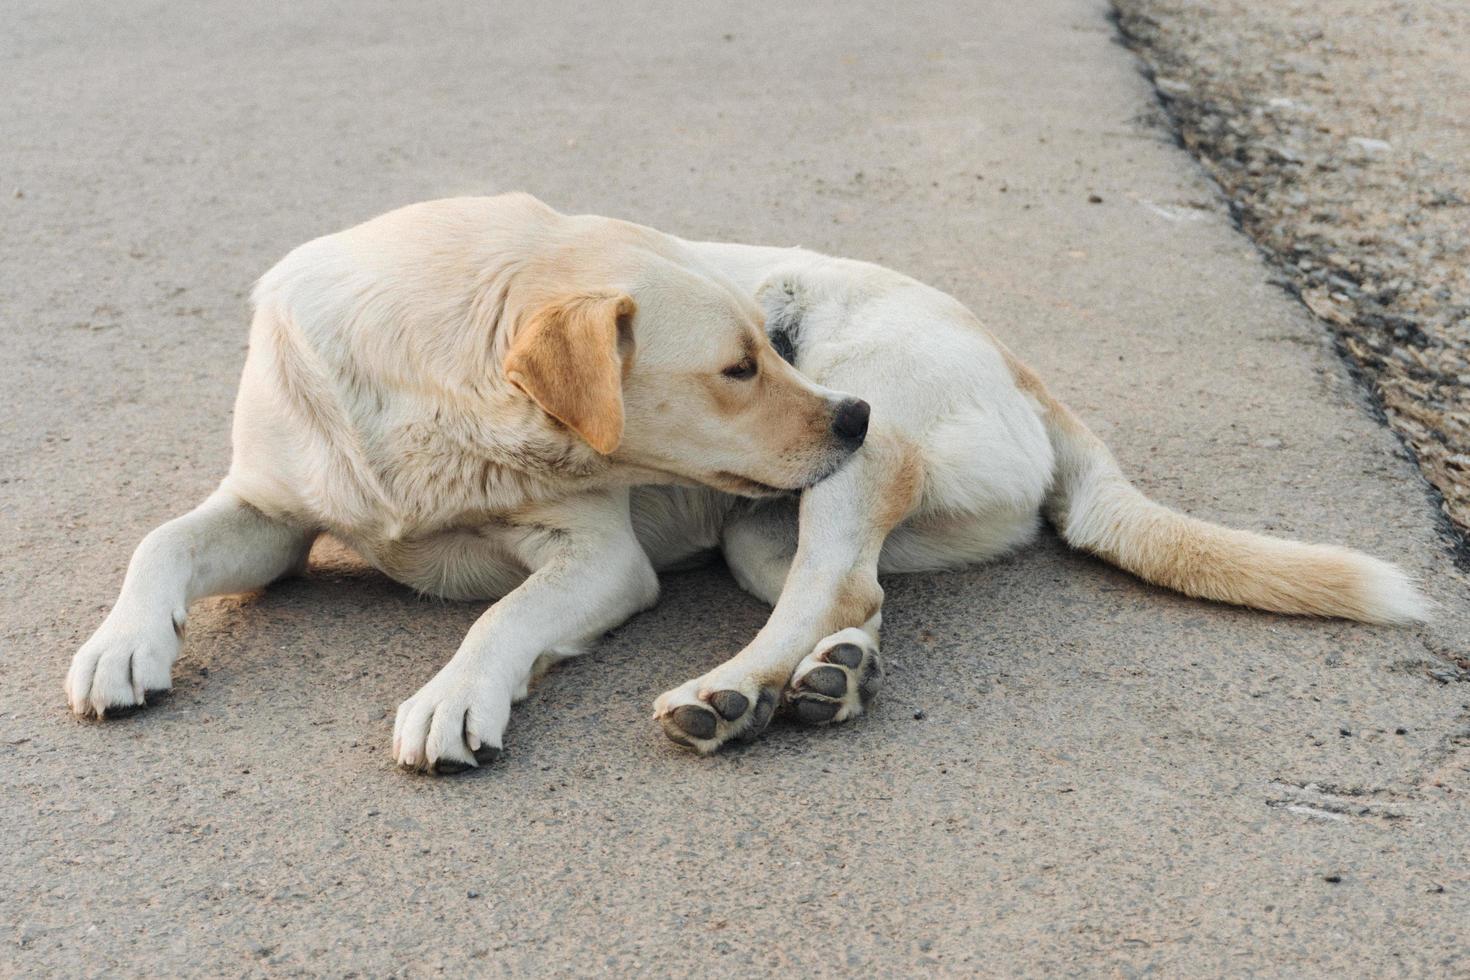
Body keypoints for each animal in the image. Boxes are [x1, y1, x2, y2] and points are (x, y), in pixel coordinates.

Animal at [63, 195, 1428, 769]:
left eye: (772, 338)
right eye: (736, 363)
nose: (846, 410)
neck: (426, 389)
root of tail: (1009, 353)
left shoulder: (597, 557)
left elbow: (502, 617)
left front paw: (456, 697)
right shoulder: (271, 512)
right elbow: (158, 541)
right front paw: (122, 644)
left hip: (846, 472)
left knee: (826, 586)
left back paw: (726, 694)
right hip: (765, 532)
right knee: (855, 596)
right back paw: (821, 683)